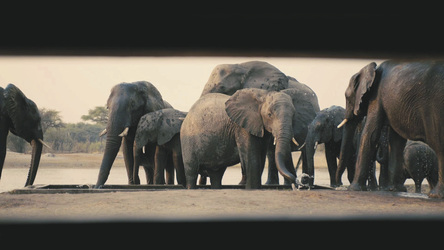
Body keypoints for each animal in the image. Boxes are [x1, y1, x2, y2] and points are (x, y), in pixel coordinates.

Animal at [340, 59, 444, 198]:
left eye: (347, 97)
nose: (337, 185)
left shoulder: (376, 97)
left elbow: (370, 134)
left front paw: (353, 189)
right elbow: (396, 141)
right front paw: (395, 190)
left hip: (435, 106)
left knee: (438, 144)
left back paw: (435, 195)